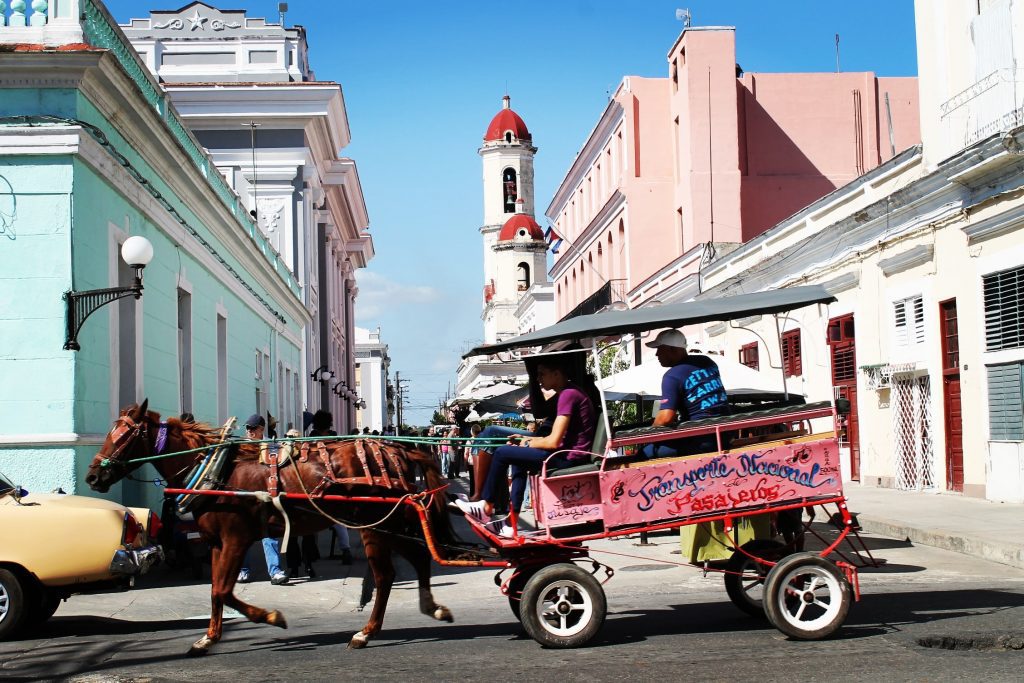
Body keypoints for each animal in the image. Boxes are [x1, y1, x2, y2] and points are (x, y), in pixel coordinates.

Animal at [86, 401, 454, 655]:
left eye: (123, 436)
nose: (93, 475)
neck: (215, 471)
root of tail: (396, 450)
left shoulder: (236, 538)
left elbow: (223, 591)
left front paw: (272, 617)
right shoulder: (217, 543)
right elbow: (216, 591)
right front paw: (208, 638)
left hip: (374, 525)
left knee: (387, 574)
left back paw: (367, 631)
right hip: (390, 524)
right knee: (420, 558)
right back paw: (432, 607)